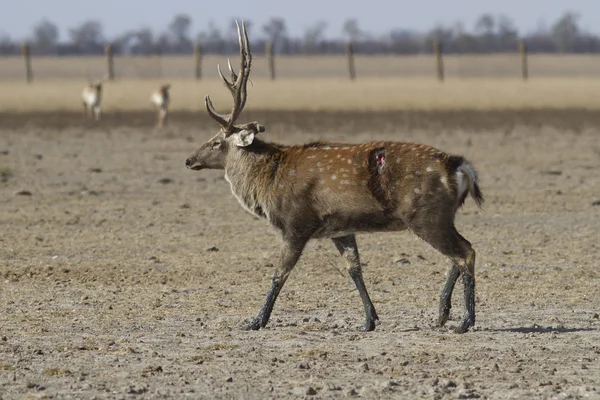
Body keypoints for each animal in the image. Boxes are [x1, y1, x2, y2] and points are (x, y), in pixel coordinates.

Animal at [185, 21, 486, 334]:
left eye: (216, 142)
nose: (189, 160)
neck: (268, 183)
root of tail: (460, 166)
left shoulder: (297, 223)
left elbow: (280, 273)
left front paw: (256, 320)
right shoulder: (340, 228)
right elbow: (354, 269)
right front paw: (369, 320)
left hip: (426, 214)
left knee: (465, 253)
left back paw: (465, 321)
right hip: (441, 216)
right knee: (458, 254)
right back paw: (441, 314)